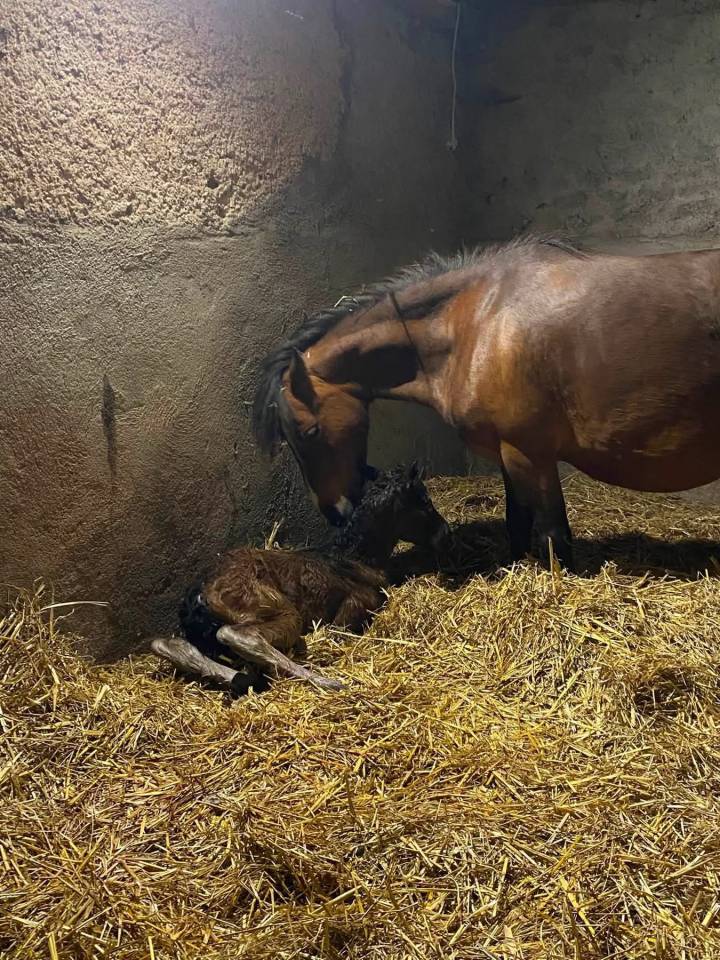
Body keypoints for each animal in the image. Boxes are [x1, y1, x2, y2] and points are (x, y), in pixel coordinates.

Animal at [150, 464, 450, 694]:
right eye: (424, 500)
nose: (444, 532)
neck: (354, 558)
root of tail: (199, 595)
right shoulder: (351, 612)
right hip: (275, 609)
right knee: (236, 635)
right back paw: (328, 682)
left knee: (169, 645)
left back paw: (243, 678)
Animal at [252, 236, 720, 570]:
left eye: (309, 431)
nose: (334, 512)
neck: (478, 322)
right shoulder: (507, 454)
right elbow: (518, 523)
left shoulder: (531, 453)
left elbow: (554, 536)